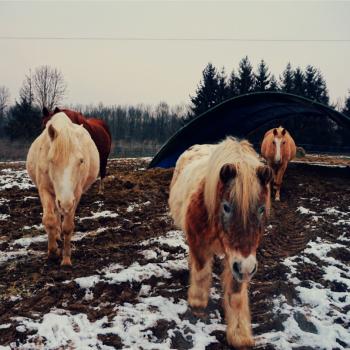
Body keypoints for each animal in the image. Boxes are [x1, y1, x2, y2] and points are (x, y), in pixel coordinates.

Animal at [26, 112, 98, 266]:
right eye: (51, 160)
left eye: (81, 161)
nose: (65, 203)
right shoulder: (44, 189)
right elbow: (49, 220)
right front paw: (53, 252)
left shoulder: (75, 195)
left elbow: (68, 226)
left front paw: (65, 259)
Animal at [169, 137, 274, 348]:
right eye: (226, 207)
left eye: (261, 209)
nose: (246, 267)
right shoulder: (199, 243)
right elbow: (201, 272)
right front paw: (197, 302)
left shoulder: (238, 260)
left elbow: (235, 294)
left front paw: (239, 334)